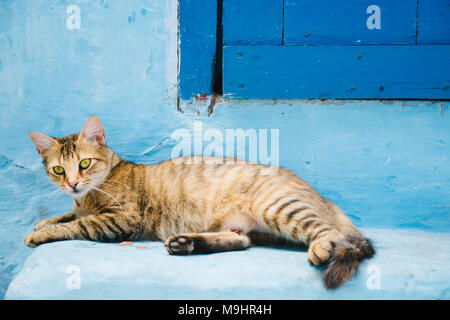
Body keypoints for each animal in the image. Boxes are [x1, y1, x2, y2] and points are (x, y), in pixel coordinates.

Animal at [26, 115, 374, 290]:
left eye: (84, 164)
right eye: (59, 169)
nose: (72, 183)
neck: (90, 195)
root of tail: (322, 198)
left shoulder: (122, 219)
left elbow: (78, 225)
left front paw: (41, 233)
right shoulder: (81, 207)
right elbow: (64, 217)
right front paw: (43, 223)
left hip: (279, 207)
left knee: (330, 233)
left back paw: (321, 247)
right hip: (245, 227)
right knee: (240, 241)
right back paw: (187, 244)